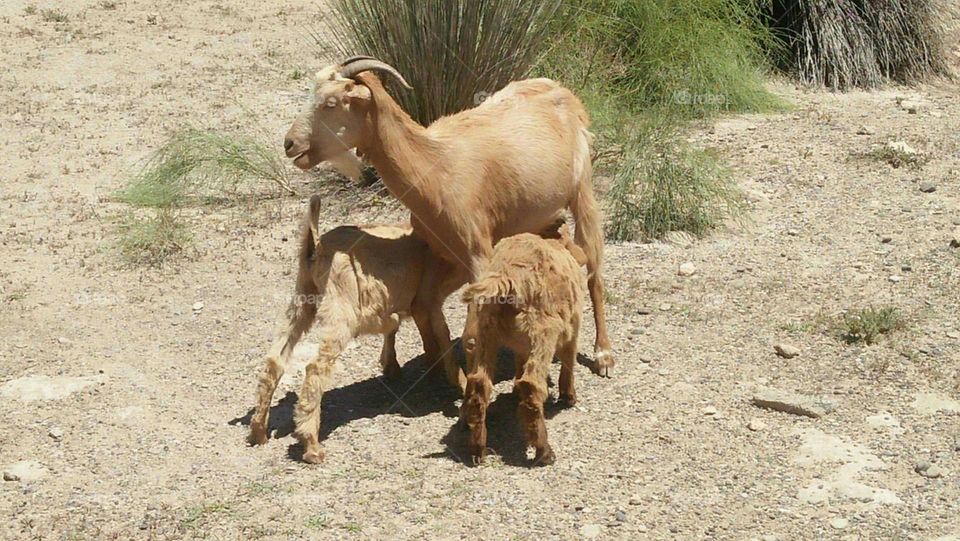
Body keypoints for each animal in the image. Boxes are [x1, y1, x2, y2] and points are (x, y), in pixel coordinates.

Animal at [283, 56, 615, 387]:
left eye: (331, 103)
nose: (289, 144)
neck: (434, 165)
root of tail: (562, 91)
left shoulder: (478, 251)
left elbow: (470, 333)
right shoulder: (440, 250)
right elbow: (425, 308)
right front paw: (441, 369)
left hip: (583, 192)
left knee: (594, 275)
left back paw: (603, 355)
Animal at [459, 233, 586, 466]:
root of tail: (506, 276)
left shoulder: (520, 344)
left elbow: (520, 359)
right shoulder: (572, 326)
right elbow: (569, 360)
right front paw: (569, 397)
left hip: (487, 331)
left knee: (479, 384)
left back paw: (478, 449)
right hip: (543, 332)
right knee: (531, 384)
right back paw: (544, 452)